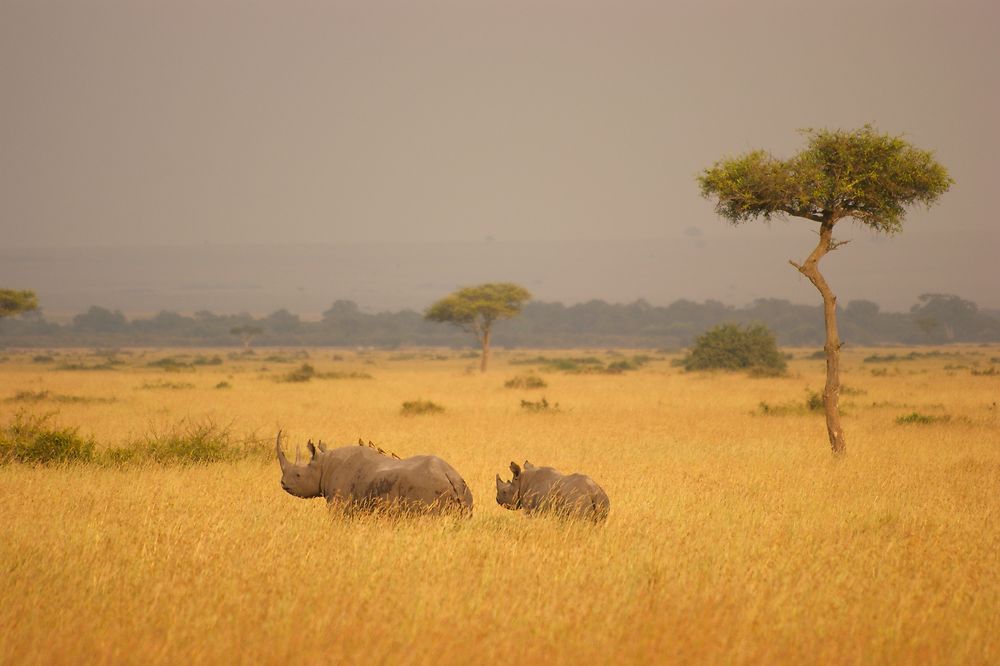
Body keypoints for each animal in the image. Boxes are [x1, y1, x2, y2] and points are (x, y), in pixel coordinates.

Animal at [276, 430, 474, 512]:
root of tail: (450, 477)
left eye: (298, 475)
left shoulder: (340, 504)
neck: (324, 464)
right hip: (464, 489)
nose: (283, 483)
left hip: (427, 488)